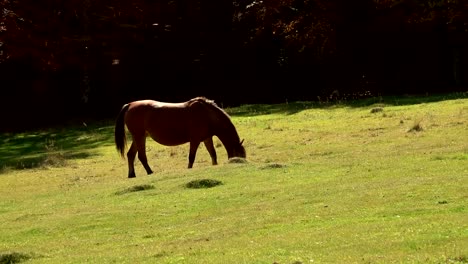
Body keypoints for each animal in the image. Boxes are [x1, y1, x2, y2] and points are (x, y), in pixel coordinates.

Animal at [114, 96, 247, 178]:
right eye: (240, 155)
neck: (207, 114)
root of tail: (130, 105)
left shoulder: (207, 139)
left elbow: (213, 154)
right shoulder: (195, 140)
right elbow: (191, 158)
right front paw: (189, 169)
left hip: (139, 137)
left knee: (131, 155)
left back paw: (132, 174)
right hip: (140, 137)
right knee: (141, 156)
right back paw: (150, 172)